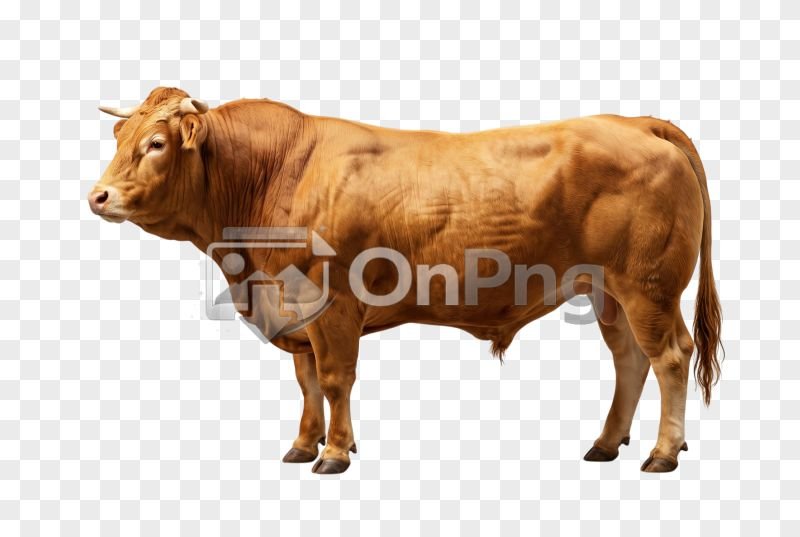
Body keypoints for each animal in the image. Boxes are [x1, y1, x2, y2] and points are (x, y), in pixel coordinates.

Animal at [88, 87, 722, 474]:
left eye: (156, 144)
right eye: (119, 140)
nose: (99, 197)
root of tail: (638, 123)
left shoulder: (332, 303)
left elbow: (335, 379)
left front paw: (334, 453)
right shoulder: (296, 312)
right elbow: (308, 382)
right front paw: (303, 444)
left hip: (648, 286)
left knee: (669, 356)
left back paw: (663, 452)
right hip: (607, 290)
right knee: (629, 359)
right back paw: (607, 443)